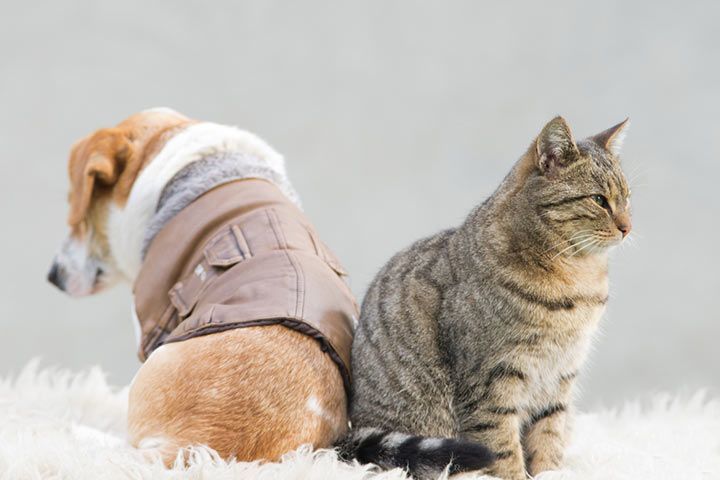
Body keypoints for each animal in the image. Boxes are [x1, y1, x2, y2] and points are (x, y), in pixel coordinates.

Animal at [338, 117, 632, 480]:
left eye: (627, 199)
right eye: (599, 199)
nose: (628, 227)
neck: (576, 279)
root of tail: (350, 433)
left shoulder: (560, 377)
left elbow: (548, 439)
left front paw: (550, 472)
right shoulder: (491, 381)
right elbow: (502, 448)